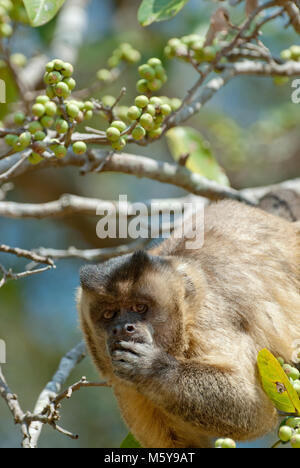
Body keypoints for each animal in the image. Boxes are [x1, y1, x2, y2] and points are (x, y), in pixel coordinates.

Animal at [77, 202, 300, 450]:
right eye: (109, 314)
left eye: (140, 307)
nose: (123, 328)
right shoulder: (123, 386)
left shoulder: (206, 316)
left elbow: (254, 408)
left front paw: (152, 367)